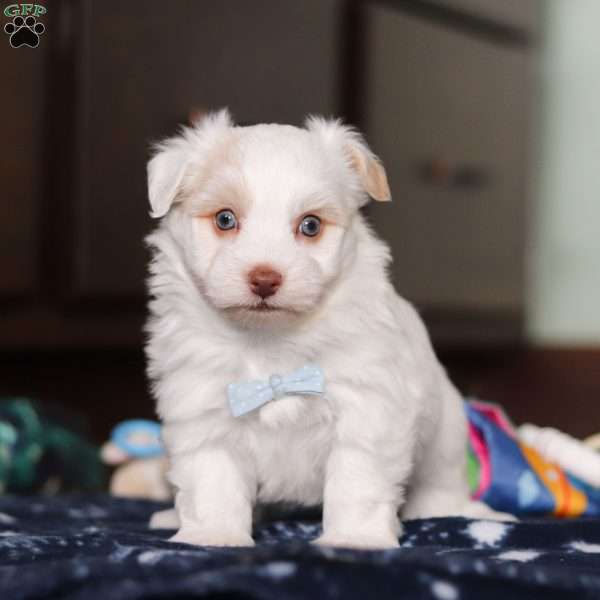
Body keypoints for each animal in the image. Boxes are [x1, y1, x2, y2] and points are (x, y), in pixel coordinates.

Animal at [145, 108, 506, 548]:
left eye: (311, 226)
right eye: (225, 219)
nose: (264, 279)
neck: (270, 341)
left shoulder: (366, 411)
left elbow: (356, 483)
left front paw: (355, 539)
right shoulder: (203, 413)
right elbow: (213, 481)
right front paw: (213, 536)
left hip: (446, 433)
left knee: (440, 481)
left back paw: (452, 511)